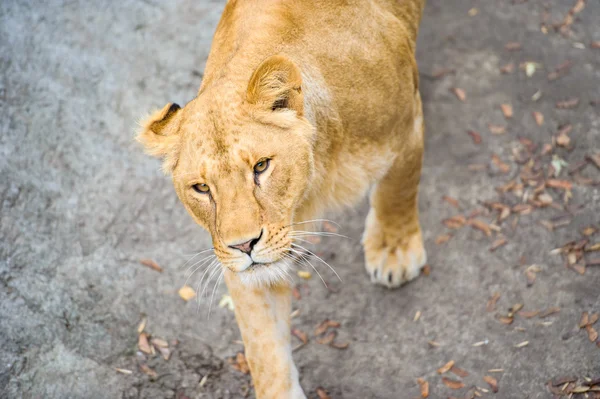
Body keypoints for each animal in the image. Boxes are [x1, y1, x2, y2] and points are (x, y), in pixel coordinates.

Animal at [136, 1, 426, 398]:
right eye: (202, 188)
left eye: (261, 166)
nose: (244, 245)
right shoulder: (243, 269)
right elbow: (265, 349)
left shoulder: (406, 127)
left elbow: (398, 190)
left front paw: (394, 251)